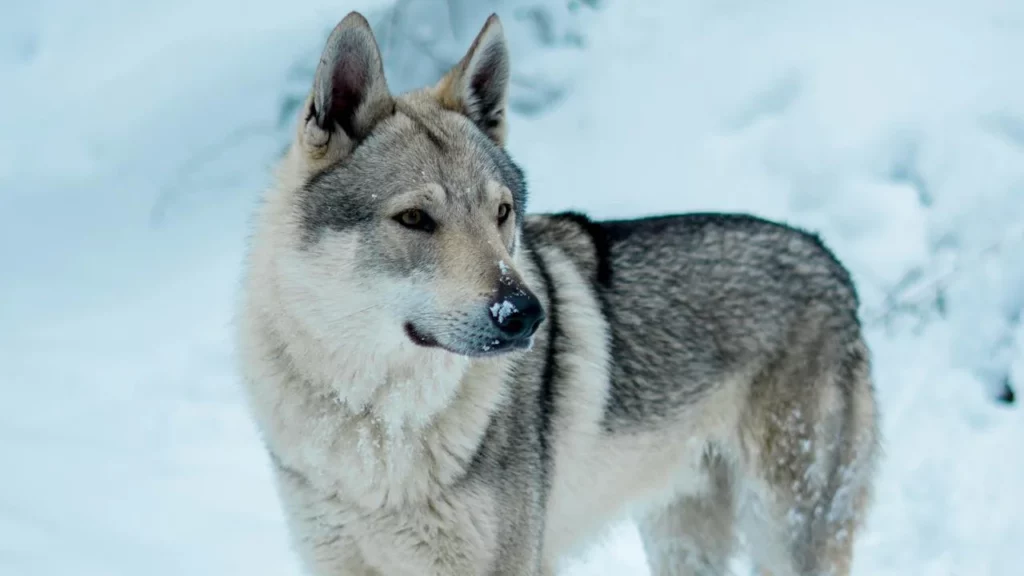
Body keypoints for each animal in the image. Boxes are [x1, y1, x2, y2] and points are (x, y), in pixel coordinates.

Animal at [236, 11, 880, 576]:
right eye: (415, 219)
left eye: (501, 213)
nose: (526, 315)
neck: (375, 420)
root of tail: (831, 262)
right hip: (682, 537)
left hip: (785, 532)